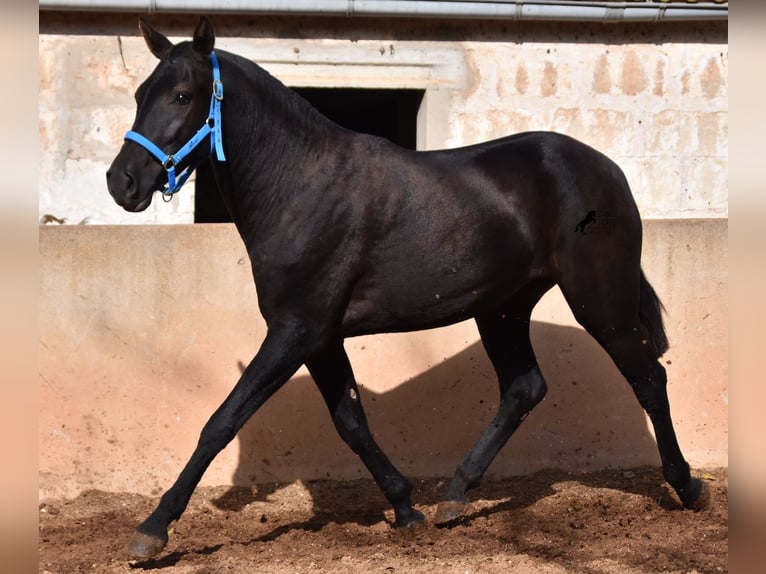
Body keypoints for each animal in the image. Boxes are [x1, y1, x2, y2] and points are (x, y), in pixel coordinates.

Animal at [105, 19, 712, 564]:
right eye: (139, 94)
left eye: (182, 95)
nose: (122, 183)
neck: (300, 186)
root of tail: (607, 169)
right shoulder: (319, 338)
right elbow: (351, 423)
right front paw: (405, 508)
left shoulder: (295, 331)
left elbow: (222, 422)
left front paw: (153, 530)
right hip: (503, 309)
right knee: (525, 388)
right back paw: (454, 497)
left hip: (599, 298)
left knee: (647, 378)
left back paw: (688, 487)